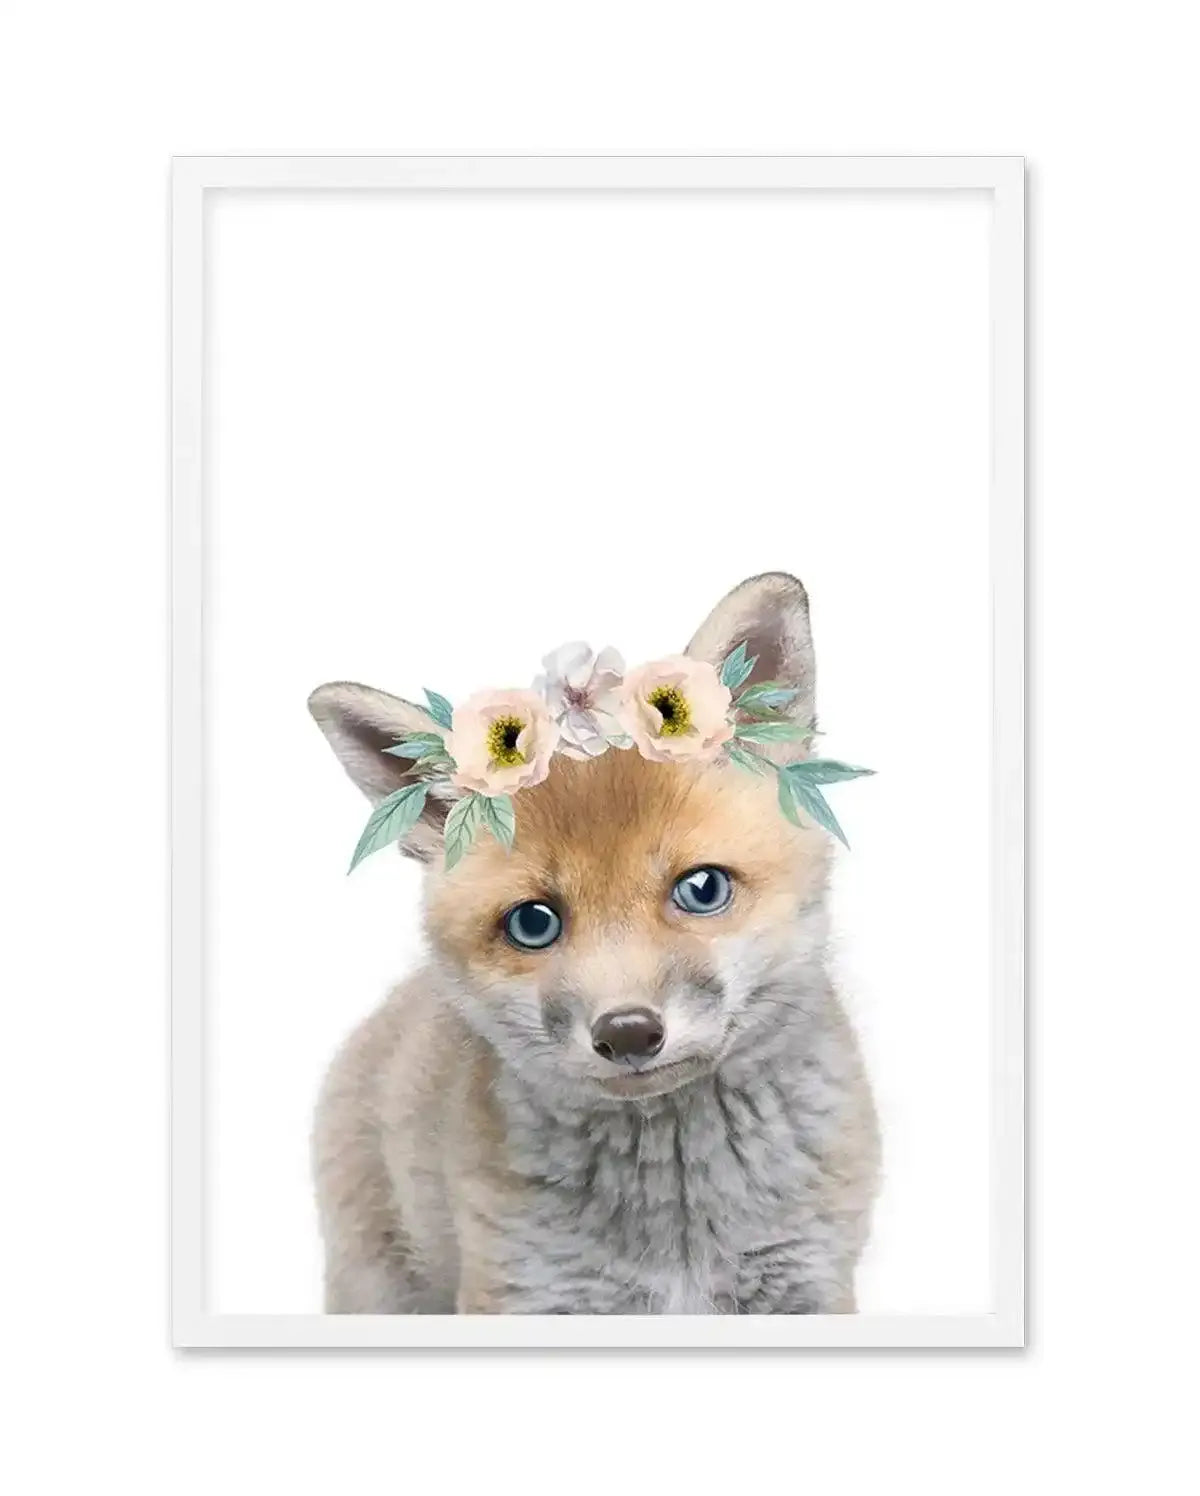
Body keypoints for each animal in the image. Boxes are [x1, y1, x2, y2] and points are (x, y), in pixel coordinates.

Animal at [307, 571, 879, 1314]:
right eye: (533, 923)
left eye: (702, 889)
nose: (628, 1032)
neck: (680, 1227)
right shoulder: (527, 1289)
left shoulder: (807, 1281)